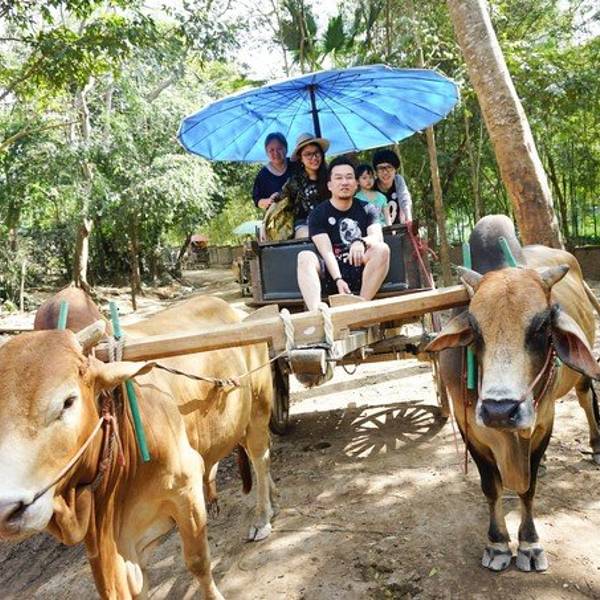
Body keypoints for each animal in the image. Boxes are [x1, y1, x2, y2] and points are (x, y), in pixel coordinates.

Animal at [0, 293, 277, 599]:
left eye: (68, 401)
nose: (6, 509)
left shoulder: (186, 488)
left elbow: (197, 561)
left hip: (259, 410)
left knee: (260, 458)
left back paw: (262, 517)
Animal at [426, 215, 600, 573]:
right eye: (474, 328)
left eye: (543, 325)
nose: (499, 410)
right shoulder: (469, 426)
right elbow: (491, 487)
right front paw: (497, 544)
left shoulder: (543, 421)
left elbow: (528, 488)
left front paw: (530, 545)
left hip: (580, 374)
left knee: (587, 399)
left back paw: (596, 446)